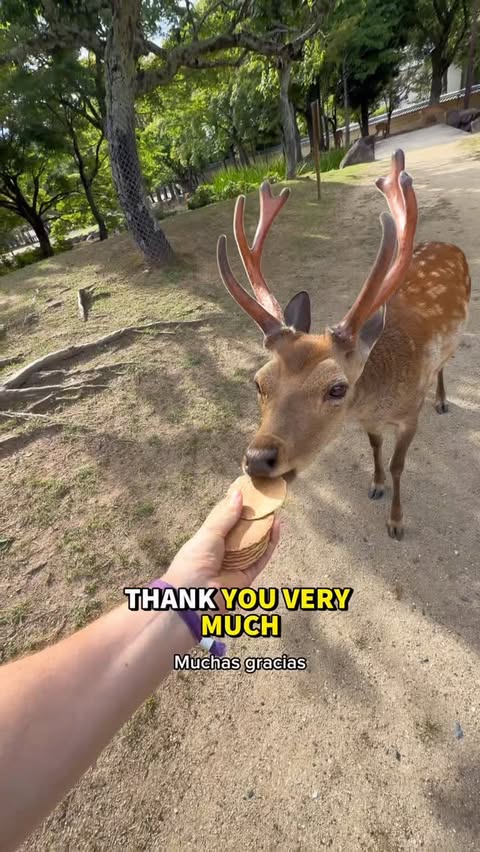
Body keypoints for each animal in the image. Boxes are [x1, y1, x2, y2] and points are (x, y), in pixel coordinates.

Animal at [216, 150, 471, 540]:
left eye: (337, 388)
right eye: (258, 382)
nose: (258, 459)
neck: (379, 399)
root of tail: (450, 245)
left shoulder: (411, 414)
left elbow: (399, 465)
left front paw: (396, 521)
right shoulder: (369, 422)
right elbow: (375, 448)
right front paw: (376, 485)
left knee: (446, 363)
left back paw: (442, 400)